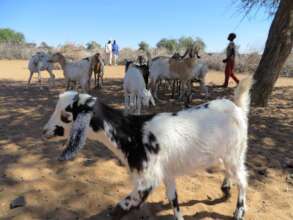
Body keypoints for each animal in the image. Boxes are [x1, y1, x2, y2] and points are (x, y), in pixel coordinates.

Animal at [42, 76, 252, 219]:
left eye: (66, 116)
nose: (45, 131)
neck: (133, 133)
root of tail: (237, 108)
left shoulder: (148, 179)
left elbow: (123, 206)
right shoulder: (166, 173)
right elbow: (174, 200)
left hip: (235, 152)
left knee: (243, 179)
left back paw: (239, 210)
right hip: (228, 154)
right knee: (231, 172)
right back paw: (226, 187)